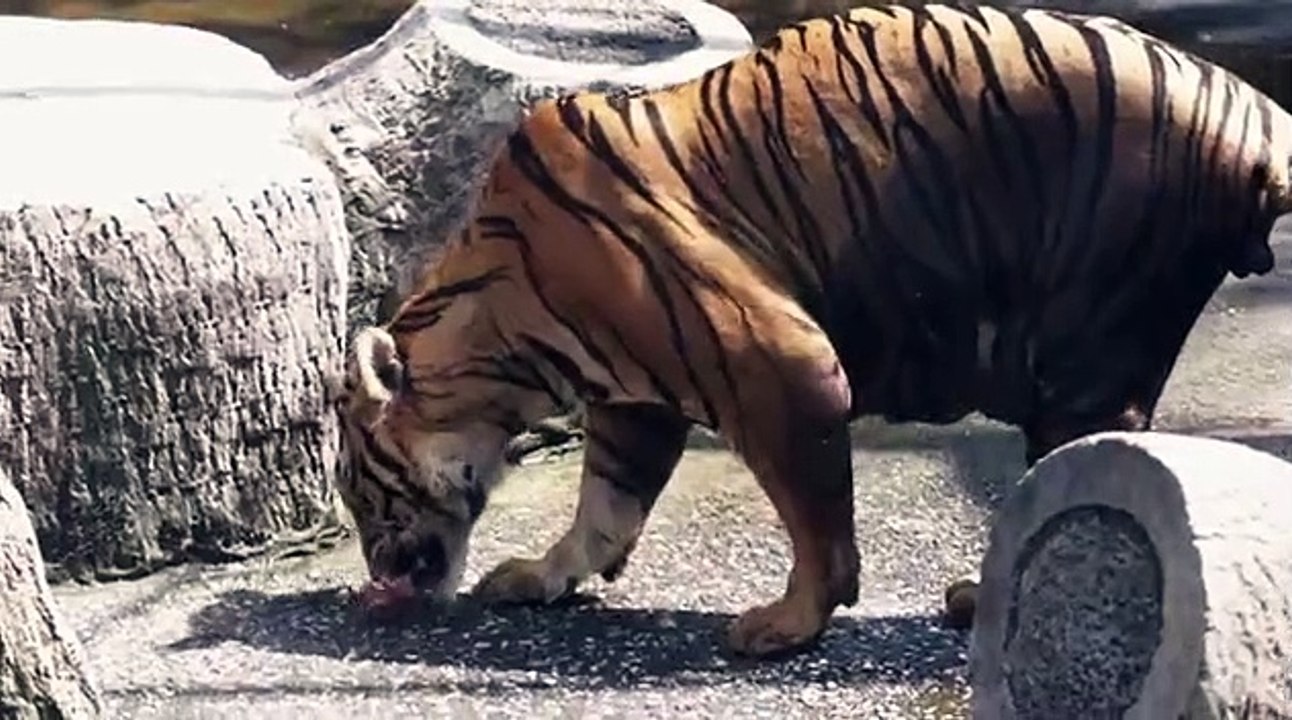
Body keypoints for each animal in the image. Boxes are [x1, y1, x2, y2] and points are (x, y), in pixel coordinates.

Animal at [331, 2, 1292, 659]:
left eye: (356, 486)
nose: (376, 574)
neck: (502, 342)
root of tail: (1252, 104)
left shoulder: (777, 362)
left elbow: (814, 514)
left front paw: (787, 625)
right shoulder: (635, 403)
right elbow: (605, 504)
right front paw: (540, 577)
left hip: (1089, 336)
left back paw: (983, 600)